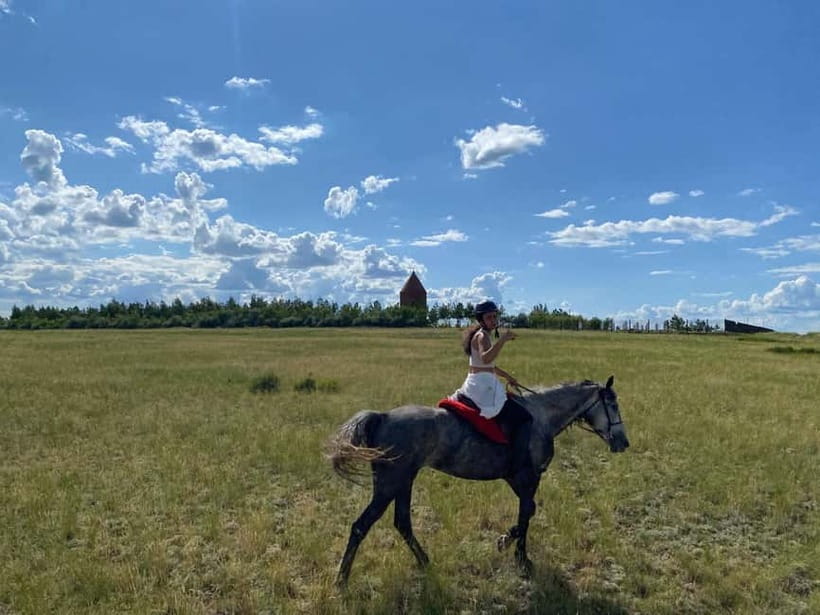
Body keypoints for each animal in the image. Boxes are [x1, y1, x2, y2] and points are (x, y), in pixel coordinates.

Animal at [327, 375, 629, 587]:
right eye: (613, 405)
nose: (623, 443)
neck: (542, 417)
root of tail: (383, 416)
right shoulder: (528, 478)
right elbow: (526, 514)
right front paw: (517, 554)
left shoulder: (518, 479)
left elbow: (527, 513)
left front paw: (510, 545)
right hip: (390, 484)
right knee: (361, 526)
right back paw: (341, 580)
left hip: (404, 481)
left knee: (402, 523)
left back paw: (425, 562)